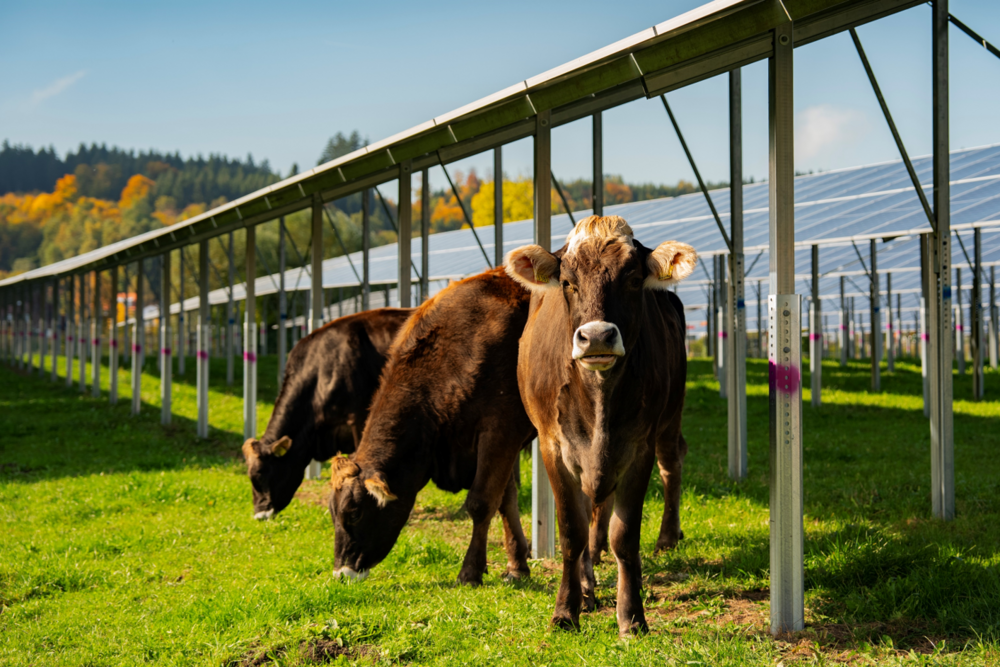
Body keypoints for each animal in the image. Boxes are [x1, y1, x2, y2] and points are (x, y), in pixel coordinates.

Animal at [328, 268, 536, 585]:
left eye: (354, 513)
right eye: (332, 514)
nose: (341, 572)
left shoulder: (501, 430)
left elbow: (481, 501)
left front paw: (470, 571)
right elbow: (506, 499)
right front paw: (517, 565)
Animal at [503, 215, 696, 637]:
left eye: (633, 279)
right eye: (566, 281)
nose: (596, 337)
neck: (599, 399)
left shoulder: (638, 446)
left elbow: (624, 537)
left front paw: (632, 616)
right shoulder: (553, 446)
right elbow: (572, 532)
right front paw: (566, 608)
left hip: (671, 414)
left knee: (671, 463)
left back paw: (667, 536)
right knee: (594, 508)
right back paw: (588, 585)